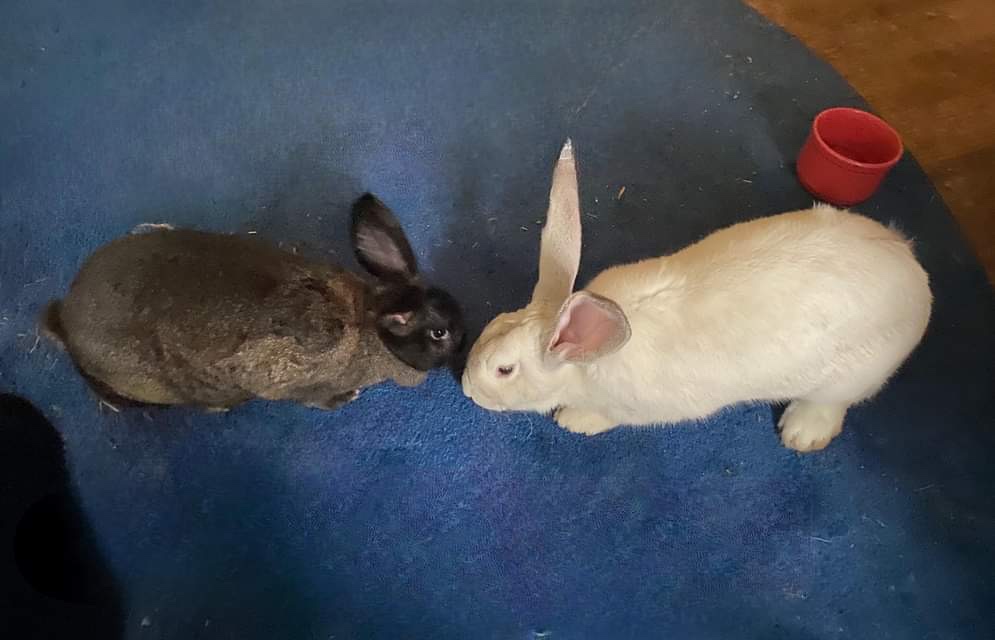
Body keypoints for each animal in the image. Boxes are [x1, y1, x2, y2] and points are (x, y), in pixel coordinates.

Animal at [42, 193, 465, 412]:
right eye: (440, 334)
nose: (464, 344)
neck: (369, 327)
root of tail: (63, 318)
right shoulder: (290, 380)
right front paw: (347, 397)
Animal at [462, 140, 932, 452]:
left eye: (504, 370)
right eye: (492, 324)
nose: (466, 388)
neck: (587, 363)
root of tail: (912, 269)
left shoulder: (632, 409)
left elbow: (603, 416)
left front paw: (574, 421)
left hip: (850, 377)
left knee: (834, 402)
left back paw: (803, 433)